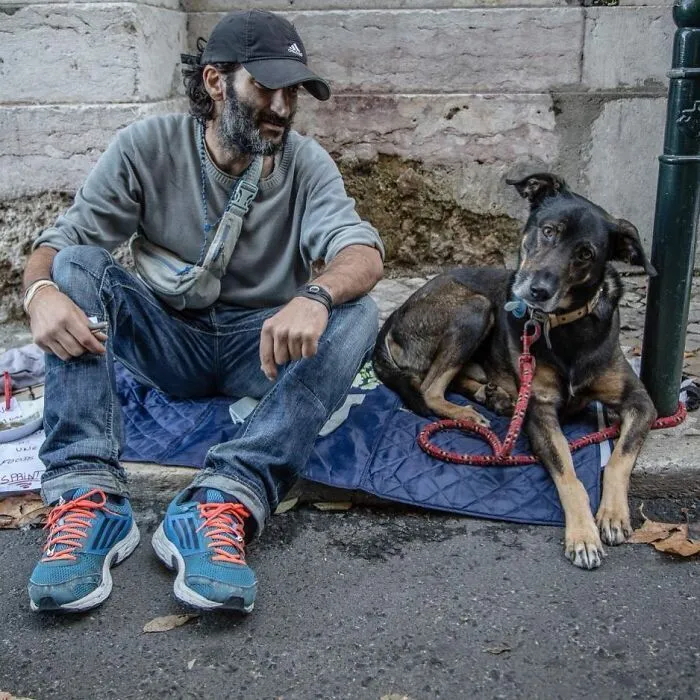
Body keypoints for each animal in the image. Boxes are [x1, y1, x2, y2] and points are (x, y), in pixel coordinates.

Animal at [374, 174, 660, 568]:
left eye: (585, 253)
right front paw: (583, 535)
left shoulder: (640, 401)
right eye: (549, 231)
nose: (537, 290)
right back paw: (470, 413)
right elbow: (569, 474)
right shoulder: (540, 411)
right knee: (431, 389)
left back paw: (495, 398)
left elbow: (620, 456)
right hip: (476, 307)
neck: (564, 324)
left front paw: (614, 515)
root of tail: (393, 318)